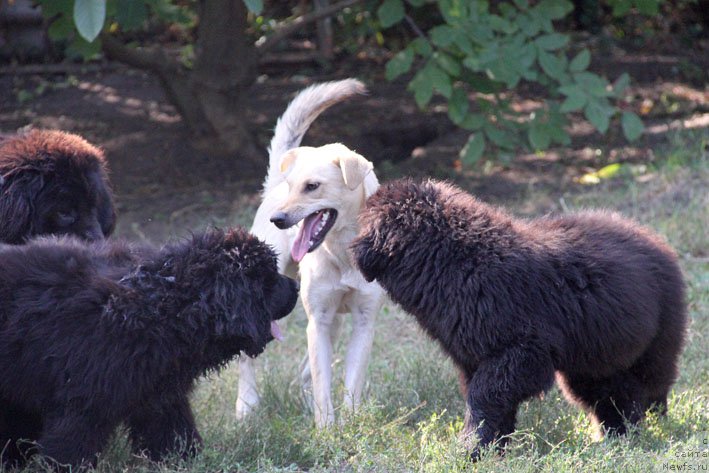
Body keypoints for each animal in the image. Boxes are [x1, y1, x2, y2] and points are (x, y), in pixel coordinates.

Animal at [0, 227, 298, 466]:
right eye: (269, 279)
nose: (296, 286)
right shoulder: (84, 401)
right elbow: (71, 443)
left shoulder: (159, 392)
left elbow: (174, 430)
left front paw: (185, 460)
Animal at [236, 79, 382, 426]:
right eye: (293, 187)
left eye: (312, 186)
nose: (278, 219)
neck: (342, 252)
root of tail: (273, 182)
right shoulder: (318, 319)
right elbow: (323, 385)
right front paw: (326, 429)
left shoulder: (362, 320)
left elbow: (349, 383)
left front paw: (351, 424)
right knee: (249, 358)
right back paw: (246, 406)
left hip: (334, 322)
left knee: (306, 372)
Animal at [352, 179, 684, 460]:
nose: (354, 252)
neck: (458, 263)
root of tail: (654, 240)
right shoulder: (474, 357)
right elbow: (491, 399)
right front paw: (492, 448)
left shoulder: (523, 349)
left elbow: (485, 393)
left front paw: (470, 448)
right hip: (594, 358)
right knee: (612, 394)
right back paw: (617, 437)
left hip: (656, 342)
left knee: (651, 387)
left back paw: (649, 428)